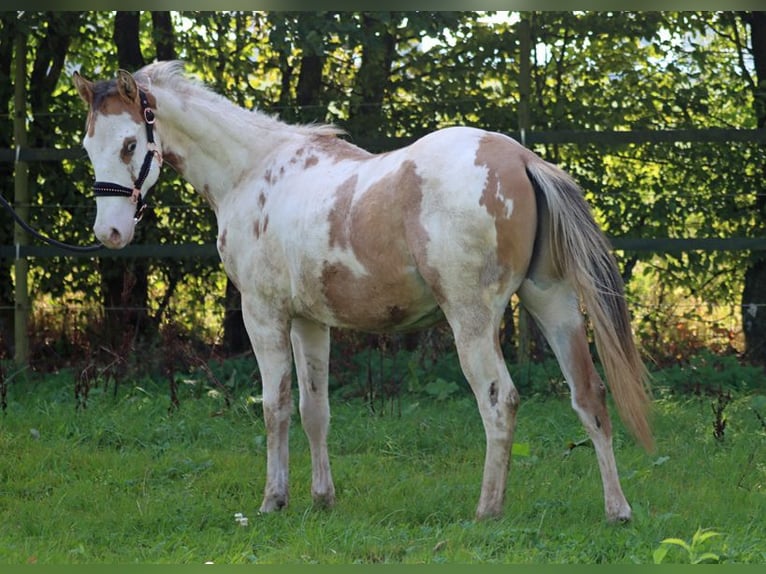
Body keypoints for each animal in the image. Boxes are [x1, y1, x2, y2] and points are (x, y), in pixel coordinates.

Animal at [73, 60, 656, 524]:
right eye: (87, 146)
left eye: (130, 143)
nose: (110, 233)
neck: (253, 171)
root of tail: (521, 159)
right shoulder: (311, 323)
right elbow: (314, 409)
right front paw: (321, 498)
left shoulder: (265, 316)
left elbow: (274, 407)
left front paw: (273, 500)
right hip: (553, 305)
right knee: (590, 397)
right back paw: (618, 510)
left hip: (471, 321)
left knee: (499, 402)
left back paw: (487, 510)